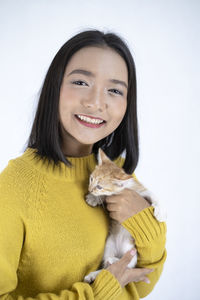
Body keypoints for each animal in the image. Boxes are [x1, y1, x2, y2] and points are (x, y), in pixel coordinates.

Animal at [83, 148, 166, 284]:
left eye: (99, 186)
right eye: (91, 179)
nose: (90, 189)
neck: (124, 188)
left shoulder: (141, 190)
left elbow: (153, 195)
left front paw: (161, 212)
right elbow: (106, 196)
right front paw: (94, 198)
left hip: (131, 250)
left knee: (128, 264)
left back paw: (113, 261)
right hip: (109, 245)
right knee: (108, 265)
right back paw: (97, 272)